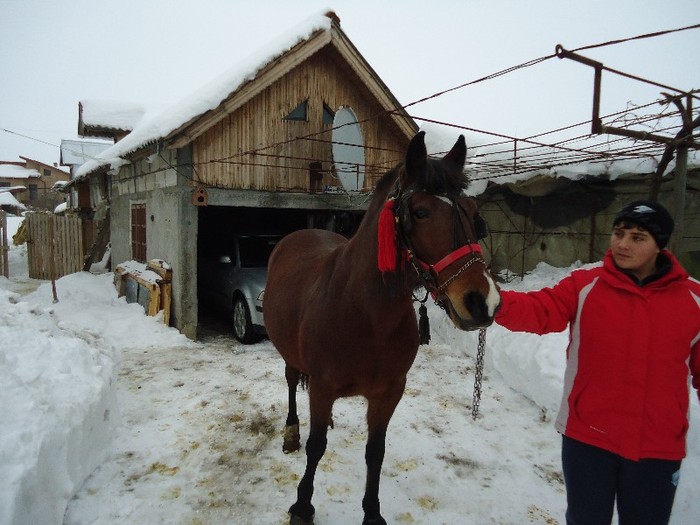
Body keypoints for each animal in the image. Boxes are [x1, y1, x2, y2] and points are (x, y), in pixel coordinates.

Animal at [262, 131, 498, 524]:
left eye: (472, 212)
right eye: (420, 212)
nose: (483, 302)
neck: (366, 316)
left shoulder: (388, 393)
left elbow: (376, 452)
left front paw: (372, 512)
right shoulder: (322, 388)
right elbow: (316, 447)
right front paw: (303, 505)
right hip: (290, 357)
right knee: (293, 383)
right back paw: (292, 431)